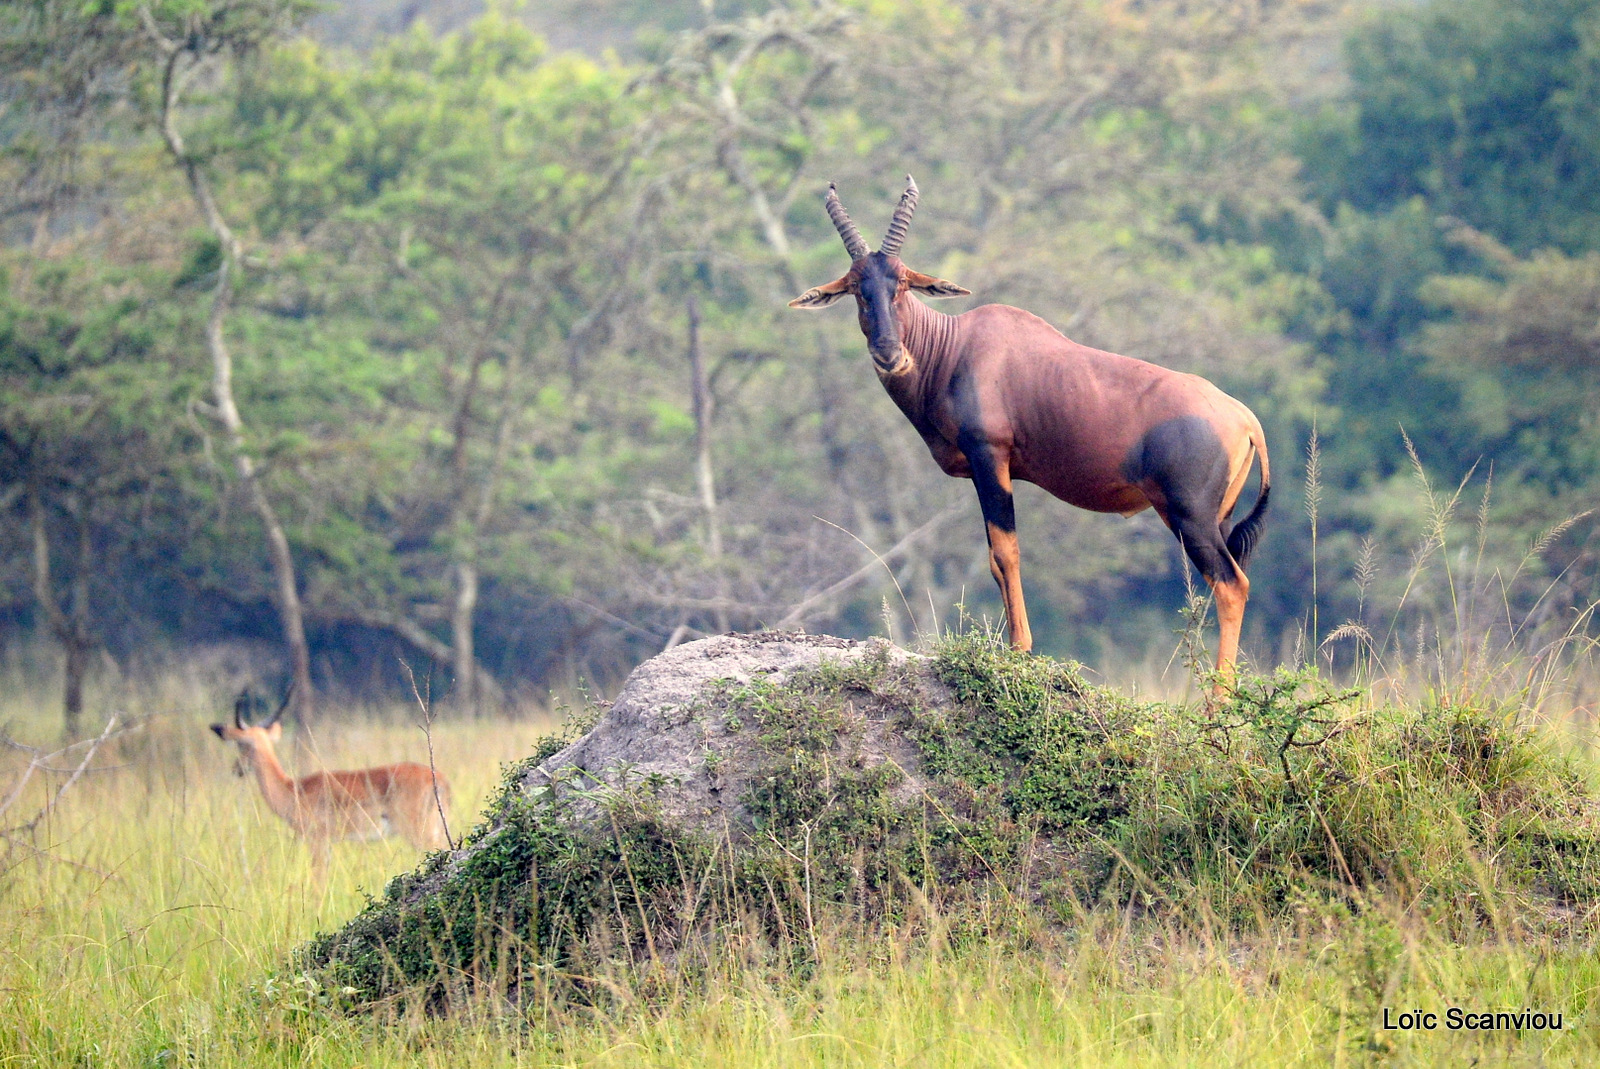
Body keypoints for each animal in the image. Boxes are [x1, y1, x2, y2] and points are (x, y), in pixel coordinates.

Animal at [209, 694, 454, 870]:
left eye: (241, 744)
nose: (237, 769)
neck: (292, 789)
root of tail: (440, 779)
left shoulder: (317, 840)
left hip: (420, 832)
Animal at [793, 175, 1267, 675]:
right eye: (855, 286)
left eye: (902, 282)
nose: (889, 355)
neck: (956, 347)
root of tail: (1244, 417)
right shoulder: (983, 470)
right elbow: (993, 556)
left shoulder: (991, 456)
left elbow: (1007, 550)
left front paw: (1019, 647)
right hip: (1216, 517)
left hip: (1188, 515)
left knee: (1232, 584)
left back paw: (1219, 692)